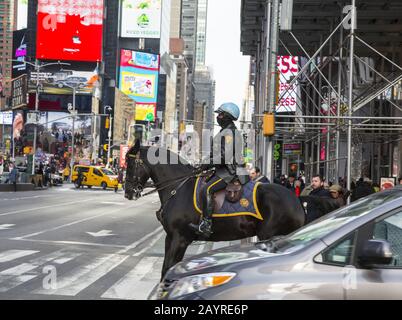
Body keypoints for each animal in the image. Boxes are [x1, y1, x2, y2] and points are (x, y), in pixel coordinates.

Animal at [125, 141, 304, 278]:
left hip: (270, 235)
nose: (127, 192)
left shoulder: (180, 238)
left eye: (130, 163)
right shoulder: (170, 238)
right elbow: (165, 269)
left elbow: (169, 267)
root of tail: (296, 201)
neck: (178, 187)